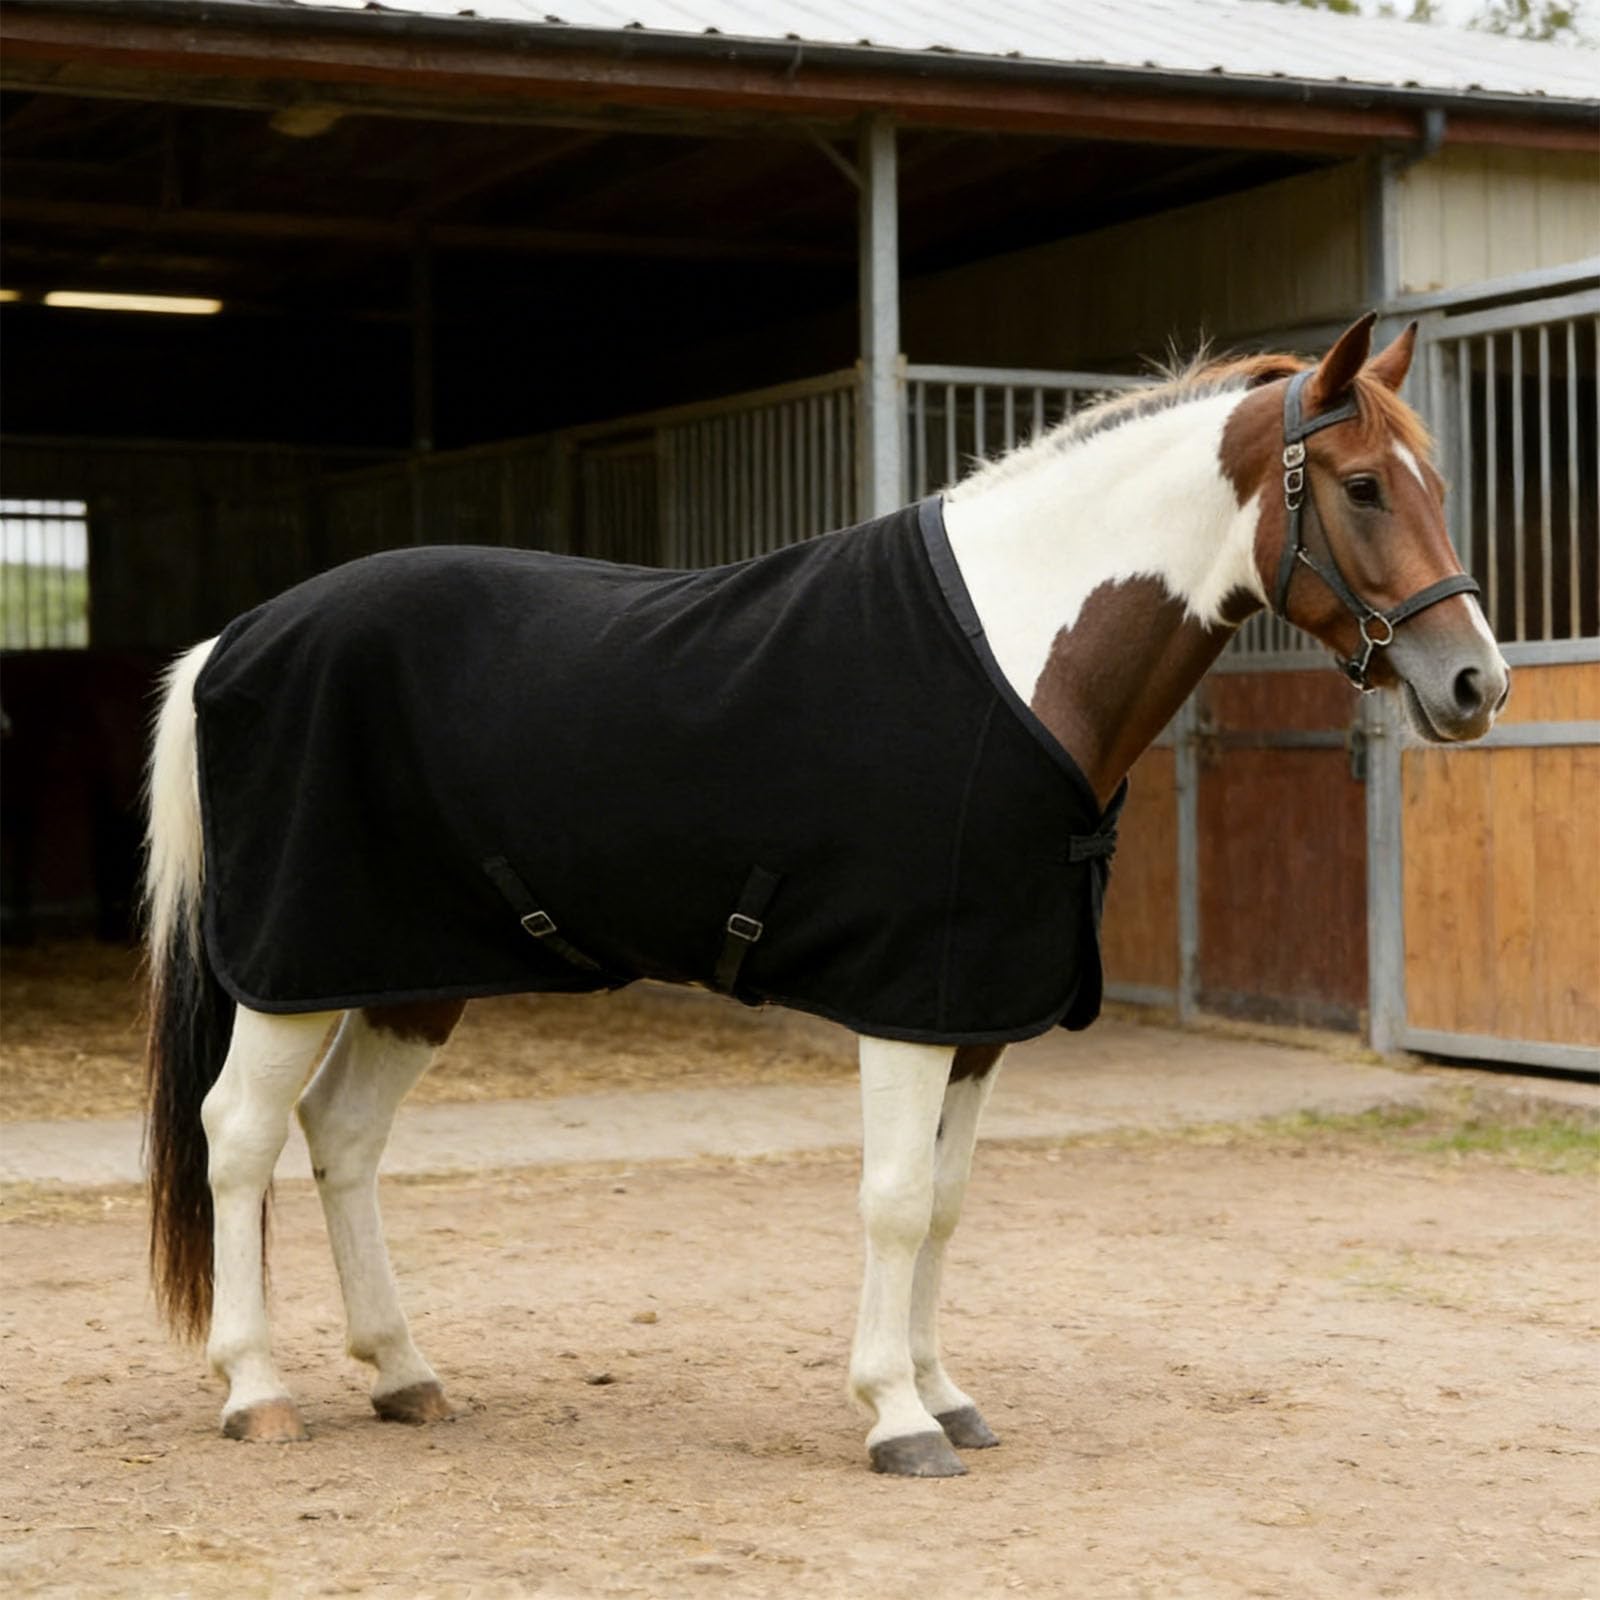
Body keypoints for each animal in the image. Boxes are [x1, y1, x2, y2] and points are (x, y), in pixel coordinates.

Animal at [141, 314, 1508, 1477]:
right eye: (1363, 486)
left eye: (1434, 484)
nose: (1476, 686)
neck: (1020, 649)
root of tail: (231, 643)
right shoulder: (907, 1003)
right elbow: (894, 1202)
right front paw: (895, 1417)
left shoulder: (976, 1018)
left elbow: (946, 1206)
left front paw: (945, 1393)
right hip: (295, 973)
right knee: (239, 1135)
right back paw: (256, 1390)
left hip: (409, 973)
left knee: (344, 1137)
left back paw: (404, 1372)